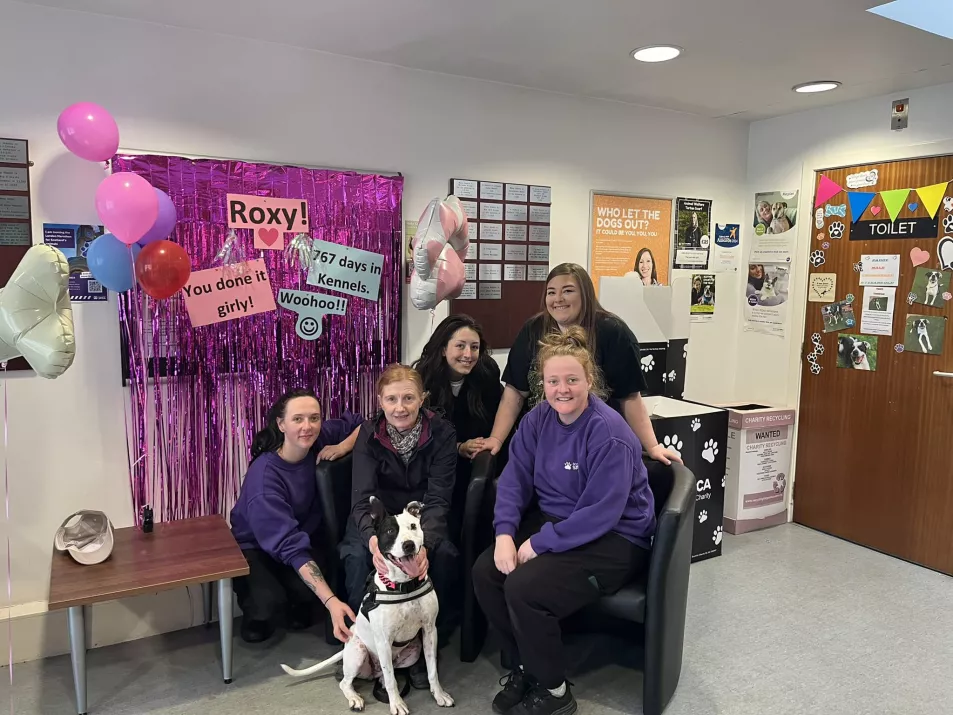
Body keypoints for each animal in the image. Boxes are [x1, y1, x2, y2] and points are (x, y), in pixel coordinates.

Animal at [280, 498, 452, 715]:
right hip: (359, 652)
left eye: (413, 526)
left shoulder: (429, 631)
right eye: (390, 531)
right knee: (350, 682)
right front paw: (397, 704)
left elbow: (432, 670)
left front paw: (439, 694)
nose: (409, 545)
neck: (403, 586)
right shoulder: (384, 640)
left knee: (386, 674)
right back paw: (355, 698)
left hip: (412, 652)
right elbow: (391, 679)